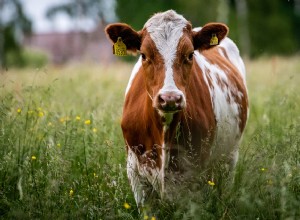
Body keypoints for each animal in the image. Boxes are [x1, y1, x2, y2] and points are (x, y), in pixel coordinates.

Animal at [105, 9, 248, 213]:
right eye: (144, 55)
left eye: (190, 54)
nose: (170, 97)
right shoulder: (136, 174)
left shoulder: (196, 175)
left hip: (229, 158)